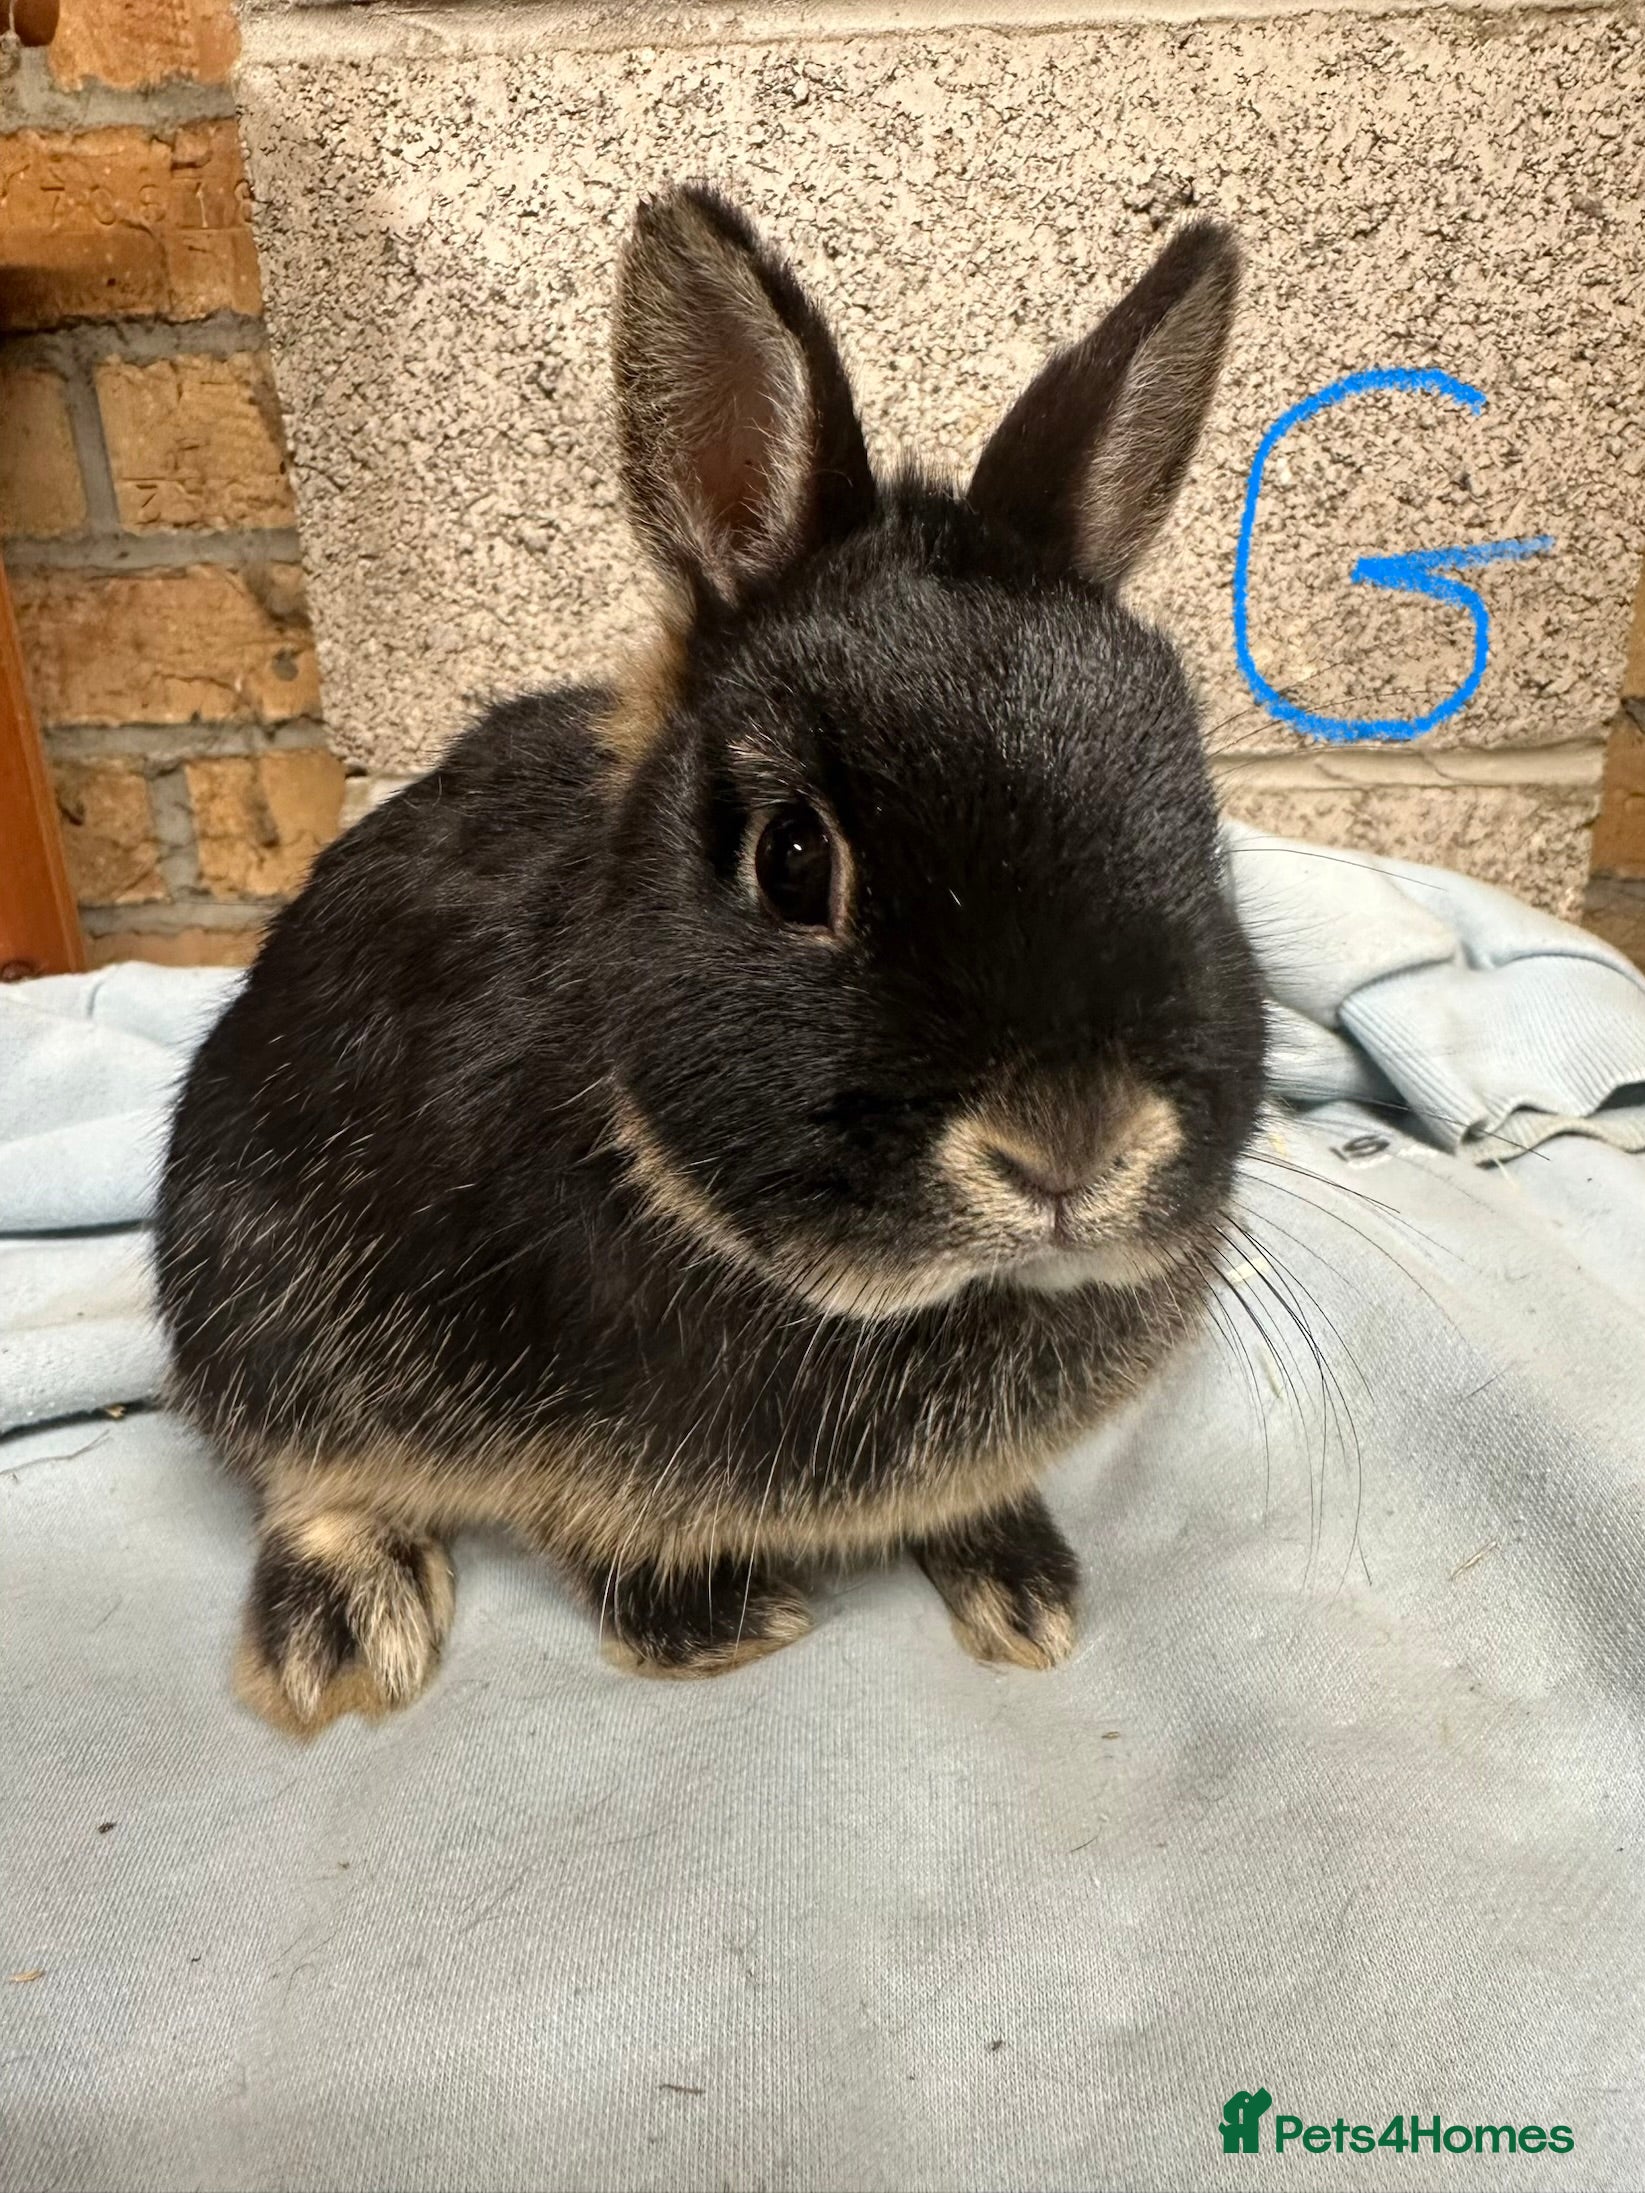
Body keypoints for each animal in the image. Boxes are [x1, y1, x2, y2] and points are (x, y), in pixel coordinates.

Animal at [156, 184, 1266, 1736]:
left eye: (1198, 821)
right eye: (794, 859)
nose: (1071, 1145)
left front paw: (1025, 1588)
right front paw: (715, 1626)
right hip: (238, 1263)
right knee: (297, 1461)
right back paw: (340, 1638)